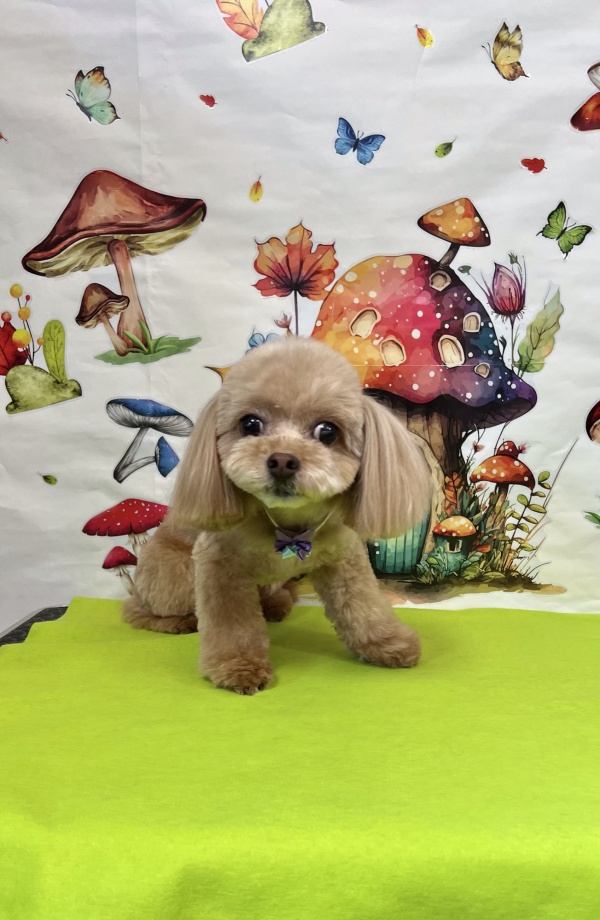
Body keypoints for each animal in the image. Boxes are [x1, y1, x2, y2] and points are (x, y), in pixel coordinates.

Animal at [123, 336, 432, 694]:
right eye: (250, 424)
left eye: (328, 432)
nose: (282, 460)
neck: (288, 524)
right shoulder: (217, 565)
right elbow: (232, 625)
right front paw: (238, 666)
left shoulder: (344, 559)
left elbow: (364, 605)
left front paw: (388, 643)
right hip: (176, 575)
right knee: (140, 611)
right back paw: (179, 621)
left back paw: (276, 604)